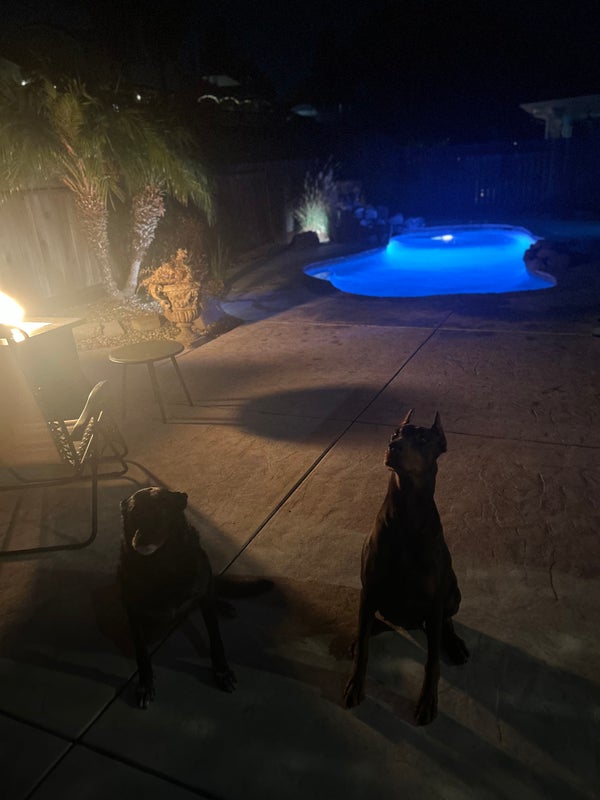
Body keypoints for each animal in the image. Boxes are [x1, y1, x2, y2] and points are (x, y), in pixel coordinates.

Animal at [119, 486, 271, 709]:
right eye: (132, 514)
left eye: (162, 511)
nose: (140, 542)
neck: (162, 564)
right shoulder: (133, 610)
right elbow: (141, 653)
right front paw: (145, 683)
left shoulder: (203, 595)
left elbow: (216, 638)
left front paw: (222, 670)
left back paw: (223, 605)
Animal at [343, 410, 468, 725]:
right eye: (395, 433)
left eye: (423, 438)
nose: (393, 447)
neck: (406, 514)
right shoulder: (369, 588)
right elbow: (364, 649)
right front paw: (355, 683)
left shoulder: (434, 602)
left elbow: (432, 661)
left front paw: (427, 701)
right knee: (369, 624)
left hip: (453, 593)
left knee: (445, 622)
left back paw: (454, 644)